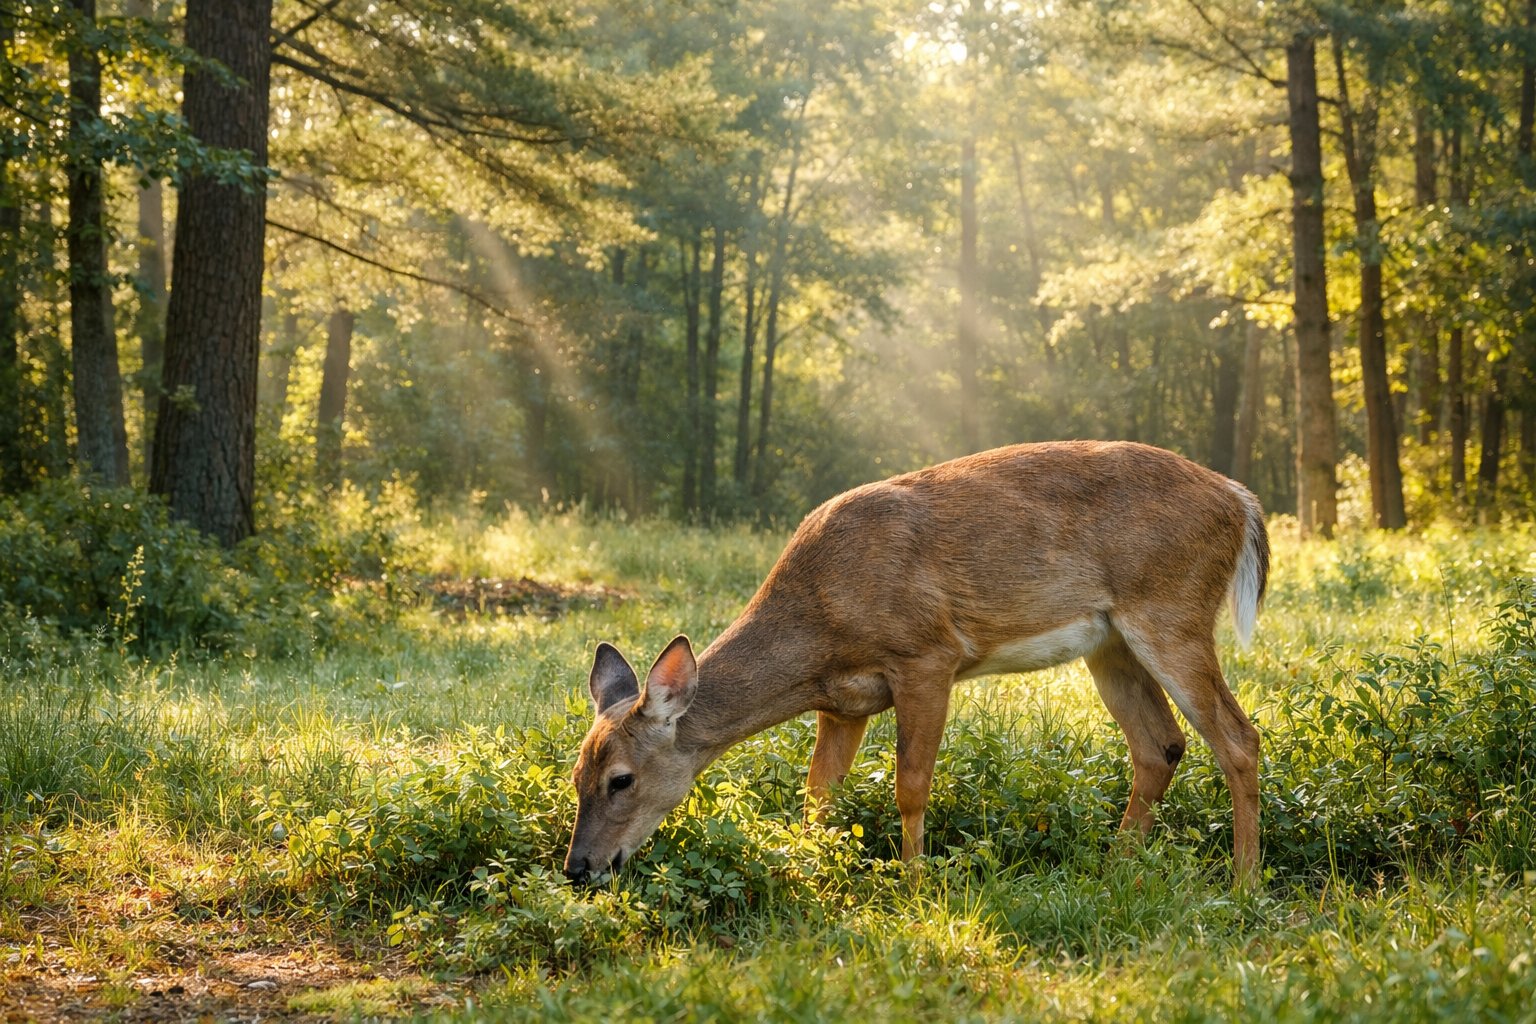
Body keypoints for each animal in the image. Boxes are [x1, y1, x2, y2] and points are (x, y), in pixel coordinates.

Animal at [563, 440, 1270, 887]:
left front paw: (914, 883)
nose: (578, 868)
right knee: (1161, 744)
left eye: (621, 779)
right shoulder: (843, 703)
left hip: (1171, 609)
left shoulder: (927, 655)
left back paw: (1243, 882)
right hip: (1111, 642)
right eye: (575, 775)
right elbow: (819, 793)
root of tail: (1240, 500)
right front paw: (808, 869)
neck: (819, 621)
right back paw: (1118, 864)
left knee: (1238, 736)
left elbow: (911, 784)